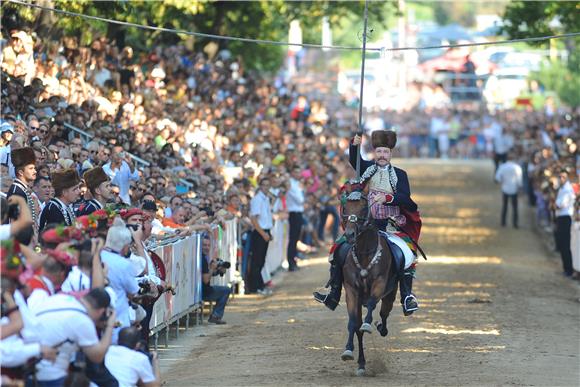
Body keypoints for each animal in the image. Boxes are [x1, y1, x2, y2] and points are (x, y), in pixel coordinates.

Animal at [340, 192, 398, 378]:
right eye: (345, 207)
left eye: (364, 207)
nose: (350, 234)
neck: (365, 254)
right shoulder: (351, 290)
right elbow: (353, 324)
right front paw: (348, 351)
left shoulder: (380, 283)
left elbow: (372, 303)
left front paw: (368, 324)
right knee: (359, 328)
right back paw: (361, 364)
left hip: (391, 294)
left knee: (384, 313)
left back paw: (379, 326)